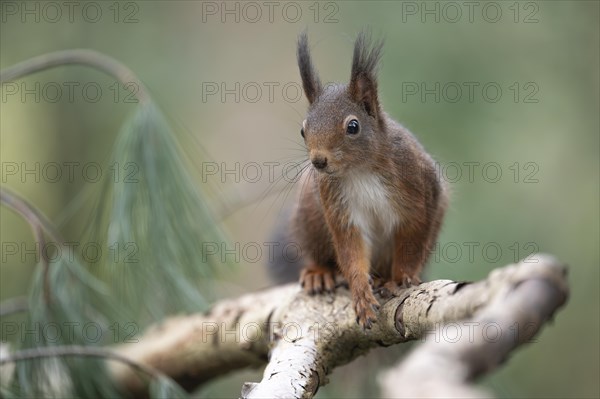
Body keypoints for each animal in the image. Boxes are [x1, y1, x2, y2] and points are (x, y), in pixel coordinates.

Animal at [288, 32, 448, 330]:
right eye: (303, 130)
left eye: (353, 126)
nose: (318, 161)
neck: (359, 171)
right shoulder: (336, 204)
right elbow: (351, 250)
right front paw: (361, 293)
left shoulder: (418, 187)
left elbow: (413, 238)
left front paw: (401, 278)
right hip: (309, 216)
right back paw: (319, 272)